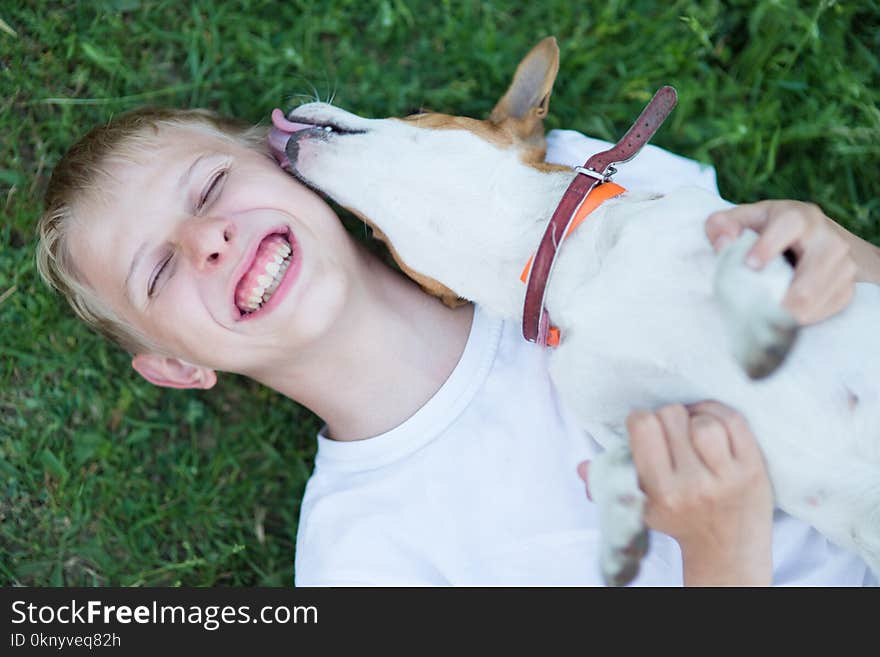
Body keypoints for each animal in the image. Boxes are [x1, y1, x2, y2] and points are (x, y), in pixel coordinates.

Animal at [268, 38, 880, 584]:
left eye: (418, 112)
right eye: (375, 236)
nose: (282, 137)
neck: (568, 267)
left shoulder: (734, 231)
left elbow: (736, 256)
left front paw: (761, 330)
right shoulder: (642, 418)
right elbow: (612, 463)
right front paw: (620, 535)